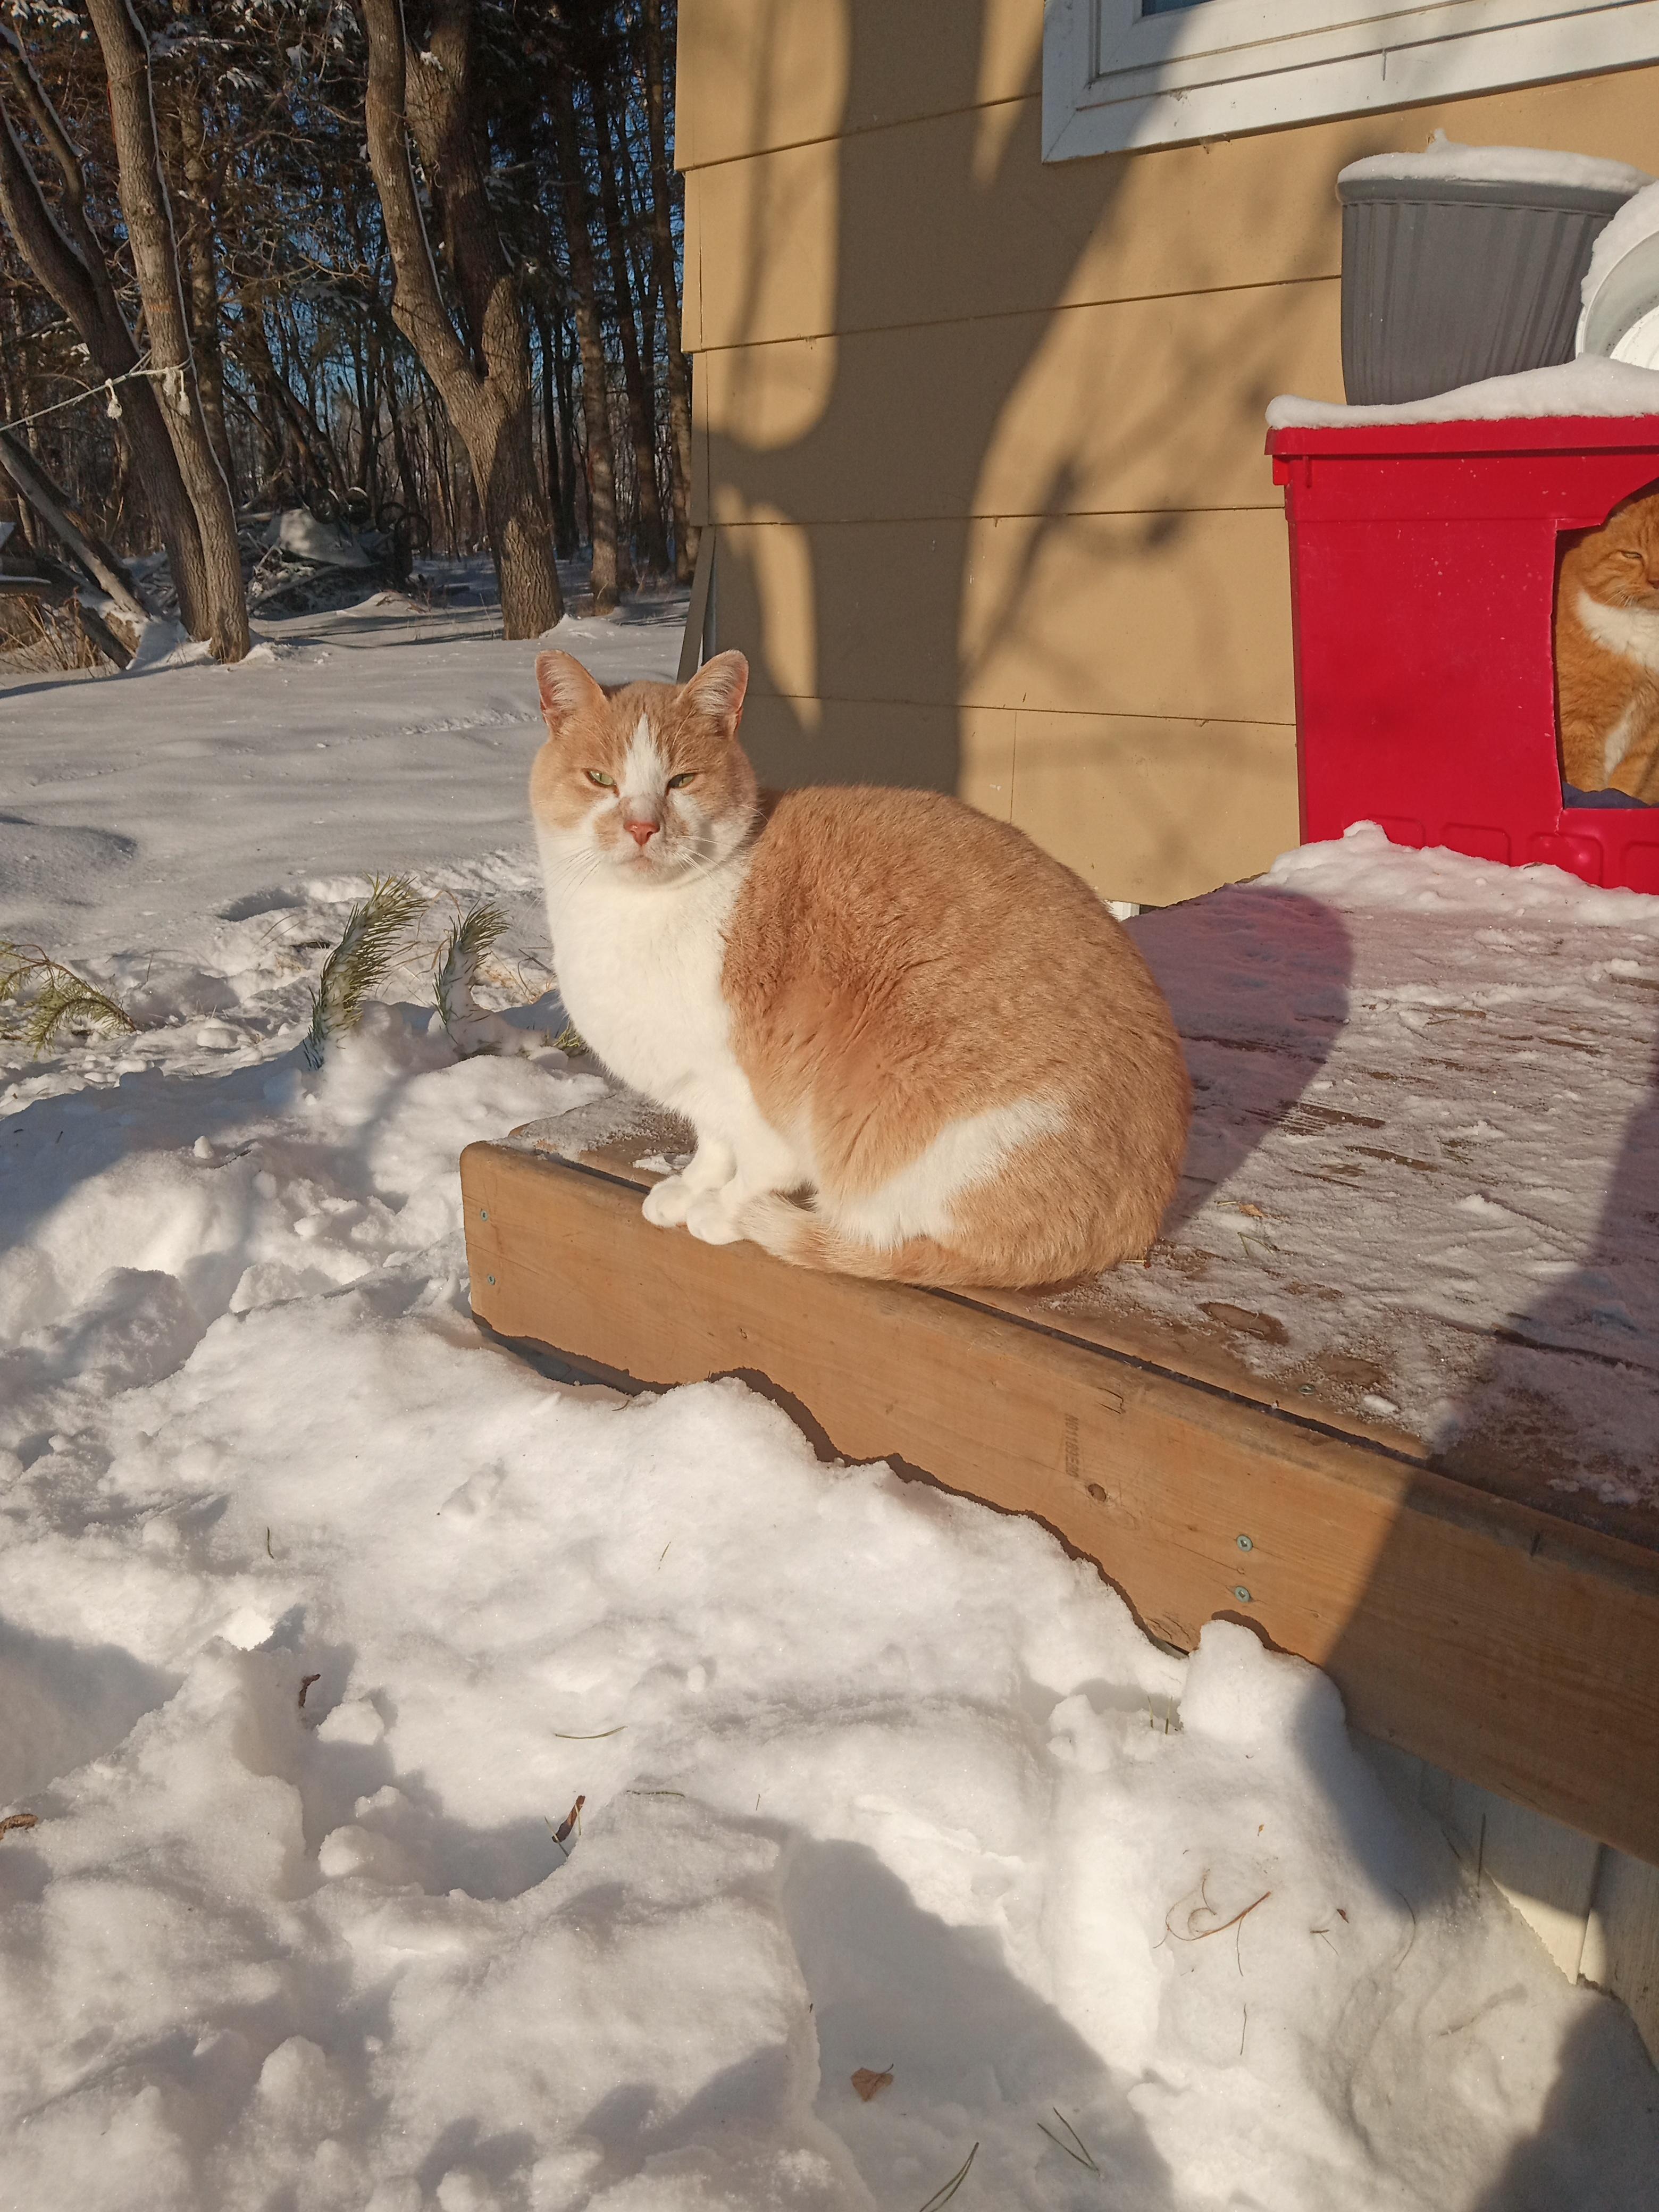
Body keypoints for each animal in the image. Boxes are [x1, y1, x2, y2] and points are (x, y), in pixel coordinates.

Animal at [533, 646, 1194, 1292]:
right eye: (600, 779)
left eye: (682, 780)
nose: (643, 826)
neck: (633, 915)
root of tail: (1137, 1219)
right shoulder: (702, 1086)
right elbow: (714, 1147)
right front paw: (691, 1185)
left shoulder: (750, 1085)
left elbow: (759, 1163)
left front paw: (722, 1208)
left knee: (886, 1232)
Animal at [1566, 487, 1659, 805]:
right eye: (1632, 555)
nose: (1656, 581)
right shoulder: (1578, 724)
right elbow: (1585, 787)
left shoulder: (1648, 738)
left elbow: (1625, 787)